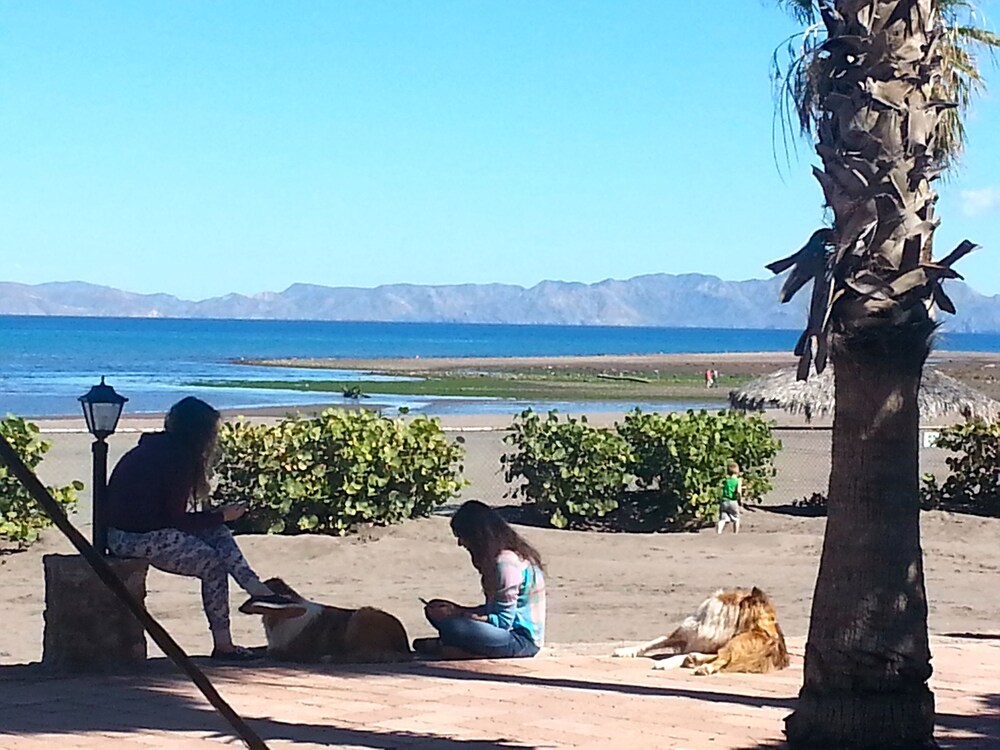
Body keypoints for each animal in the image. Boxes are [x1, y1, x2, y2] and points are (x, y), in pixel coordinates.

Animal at [612, 587, 789, 675]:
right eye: (773, 618)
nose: (777, 638)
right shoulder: (683, 634)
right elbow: (652, 642)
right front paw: (625, 651)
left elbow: (678, 655)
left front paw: (665, 662)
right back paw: (694, 660)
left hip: (736, 642)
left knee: (724, 657)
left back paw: (702, 666)